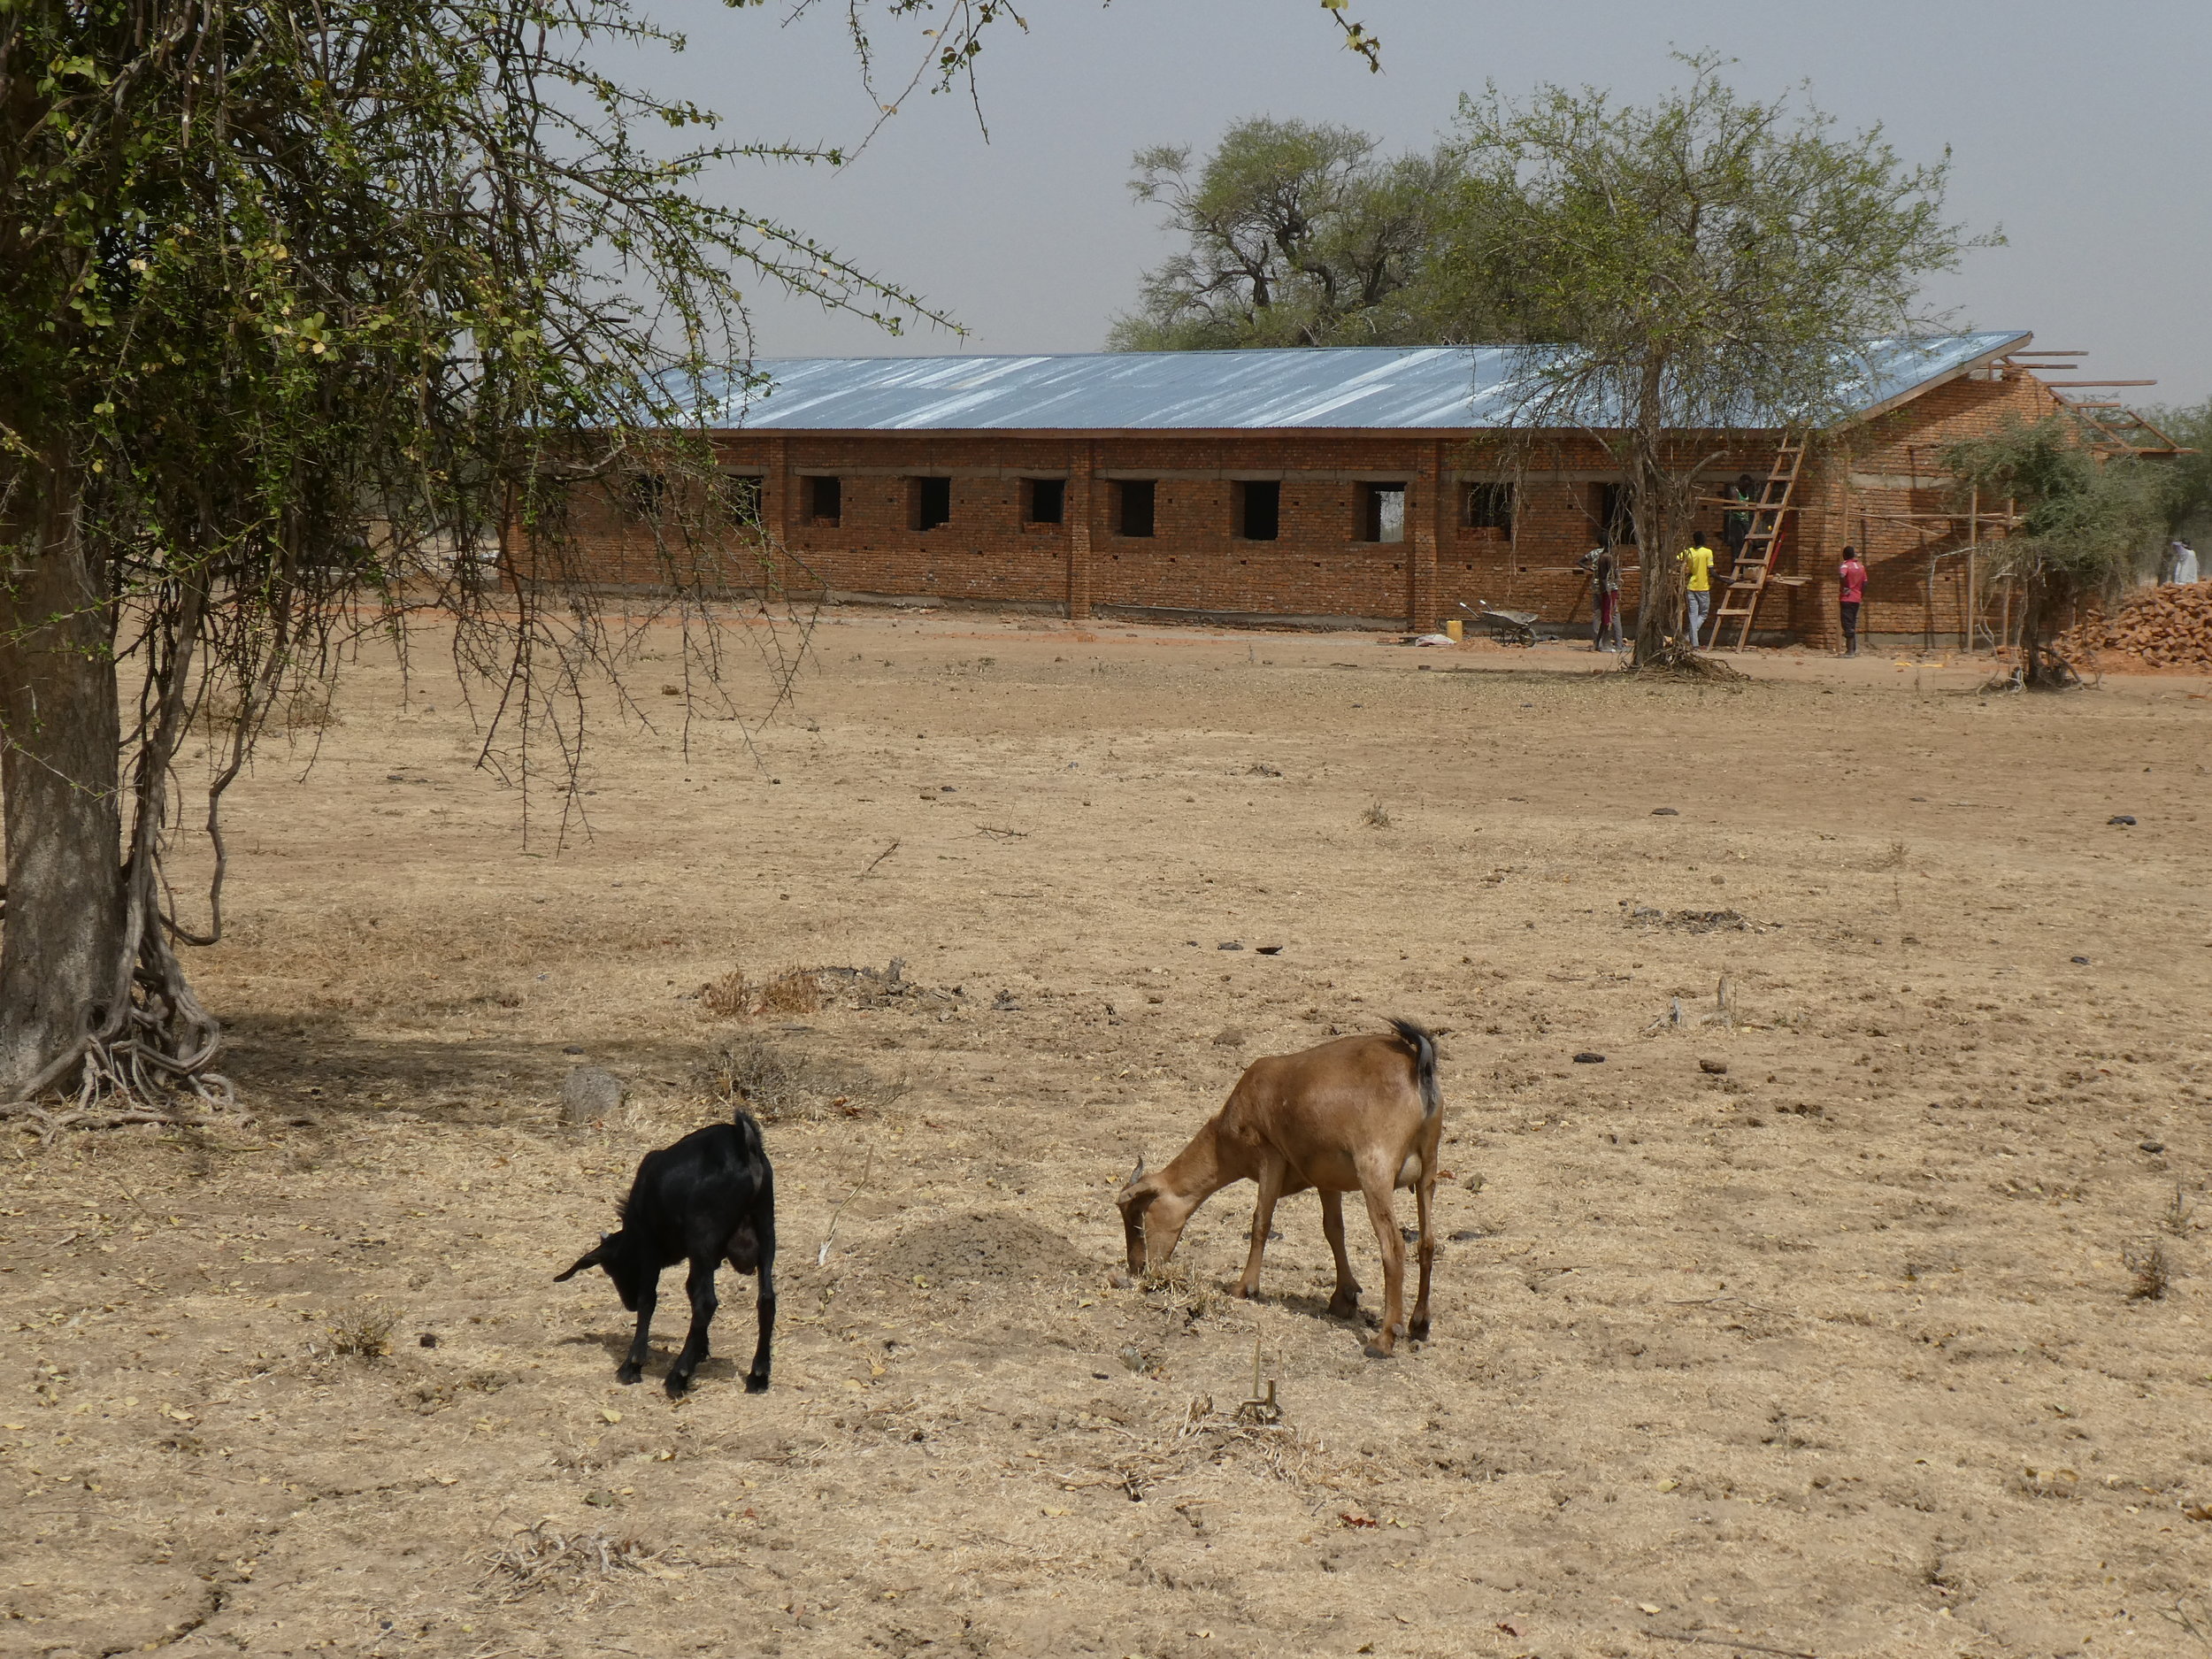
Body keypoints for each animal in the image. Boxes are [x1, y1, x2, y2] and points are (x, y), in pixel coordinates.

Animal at [553, 1110, 779, 1398]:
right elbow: (690, 1290)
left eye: (612, 1268)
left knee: (707, 1302)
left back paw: (677, 1376)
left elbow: (649, 1299)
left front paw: (633, 1365)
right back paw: (758, 1375)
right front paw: (701, 1350)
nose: (628, 1304)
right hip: (766, 1230)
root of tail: (743, 1143)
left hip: (703, 1236)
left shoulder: (650, 1247)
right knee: (766, 1299)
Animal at [1115, 1022, 1442, 1354]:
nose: (1138, 1268)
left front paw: (1243, 1287)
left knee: (1393, 1246)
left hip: (1375, 1174)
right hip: (1428, 1170)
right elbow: (1333, 1231)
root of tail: (1418, 1067)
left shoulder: (1268, 1155)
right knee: (1426, 1242)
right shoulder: (1327, 1181)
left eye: (1139, 1218)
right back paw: (1419, 1324)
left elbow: (1261, 1220)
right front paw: (1343, 1299)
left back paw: (1384, 1338)